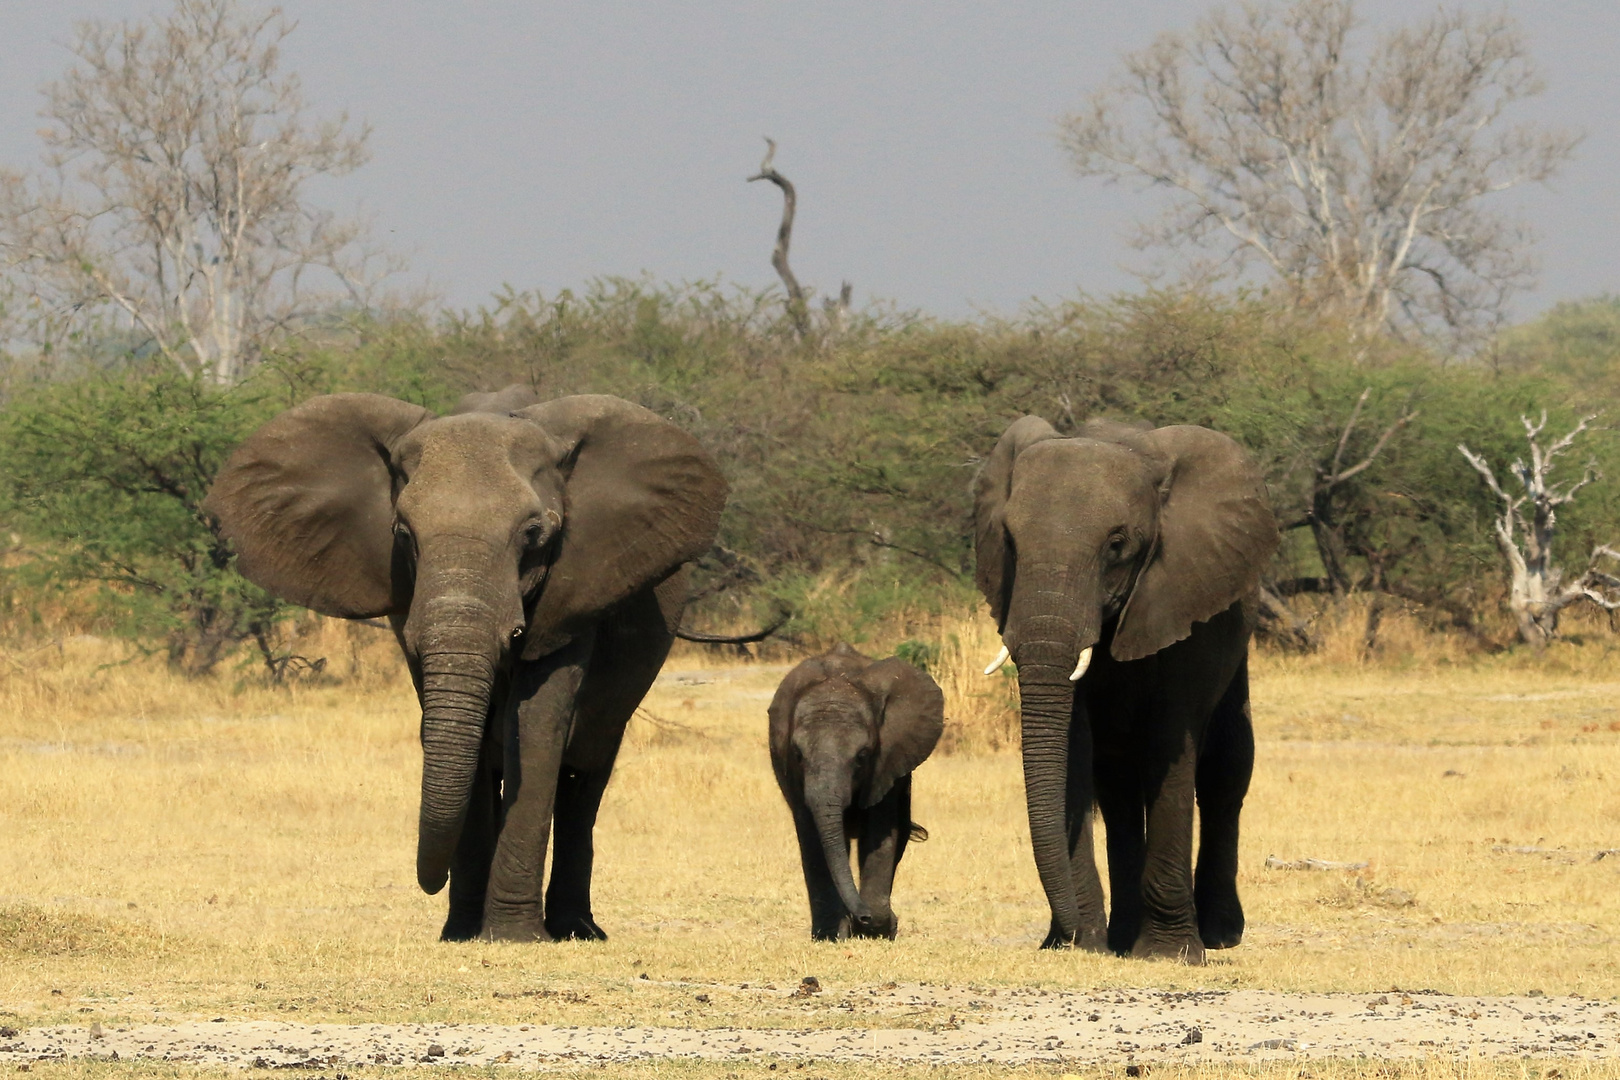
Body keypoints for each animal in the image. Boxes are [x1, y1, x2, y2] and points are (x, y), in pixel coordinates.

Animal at [205, 383, 725, 939]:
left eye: (533, 535)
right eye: (403, 534)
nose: (428, 884)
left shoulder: (578, 583)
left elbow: (537, 722)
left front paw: (514, 938)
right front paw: (461, 935)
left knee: (585, 772)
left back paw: (577, 930)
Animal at [764, 647, 946, 939]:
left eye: (862, 756)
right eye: (798, 755)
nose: (864, 915)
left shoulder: (887, 760)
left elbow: (879, 831)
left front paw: (877, 931)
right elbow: (812, 837)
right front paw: (831, 935)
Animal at [972, 414, 1276, 965]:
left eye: (1117, 544)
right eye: (1009, 540)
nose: (1065, 934)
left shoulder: (1183, 594)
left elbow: (1172, 741)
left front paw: (1171, 955)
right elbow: (1075, 747)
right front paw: (1081, 945)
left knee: (1227, 765)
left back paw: (1217, 934)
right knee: (1116, 786)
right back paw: (1121, 939)